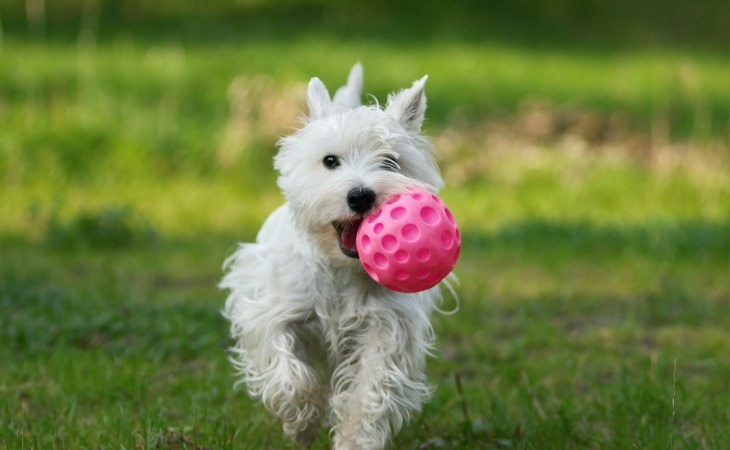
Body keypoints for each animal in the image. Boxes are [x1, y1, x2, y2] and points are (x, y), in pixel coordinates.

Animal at [219, 64, 452, 450]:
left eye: (390, 162)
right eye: (330, 161)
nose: (360, 196)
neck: (340, 269)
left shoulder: (386, 326)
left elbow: (370, 388)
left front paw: (354, 438)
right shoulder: (272, 310)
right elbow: (286, 370)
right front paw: (303, 421)